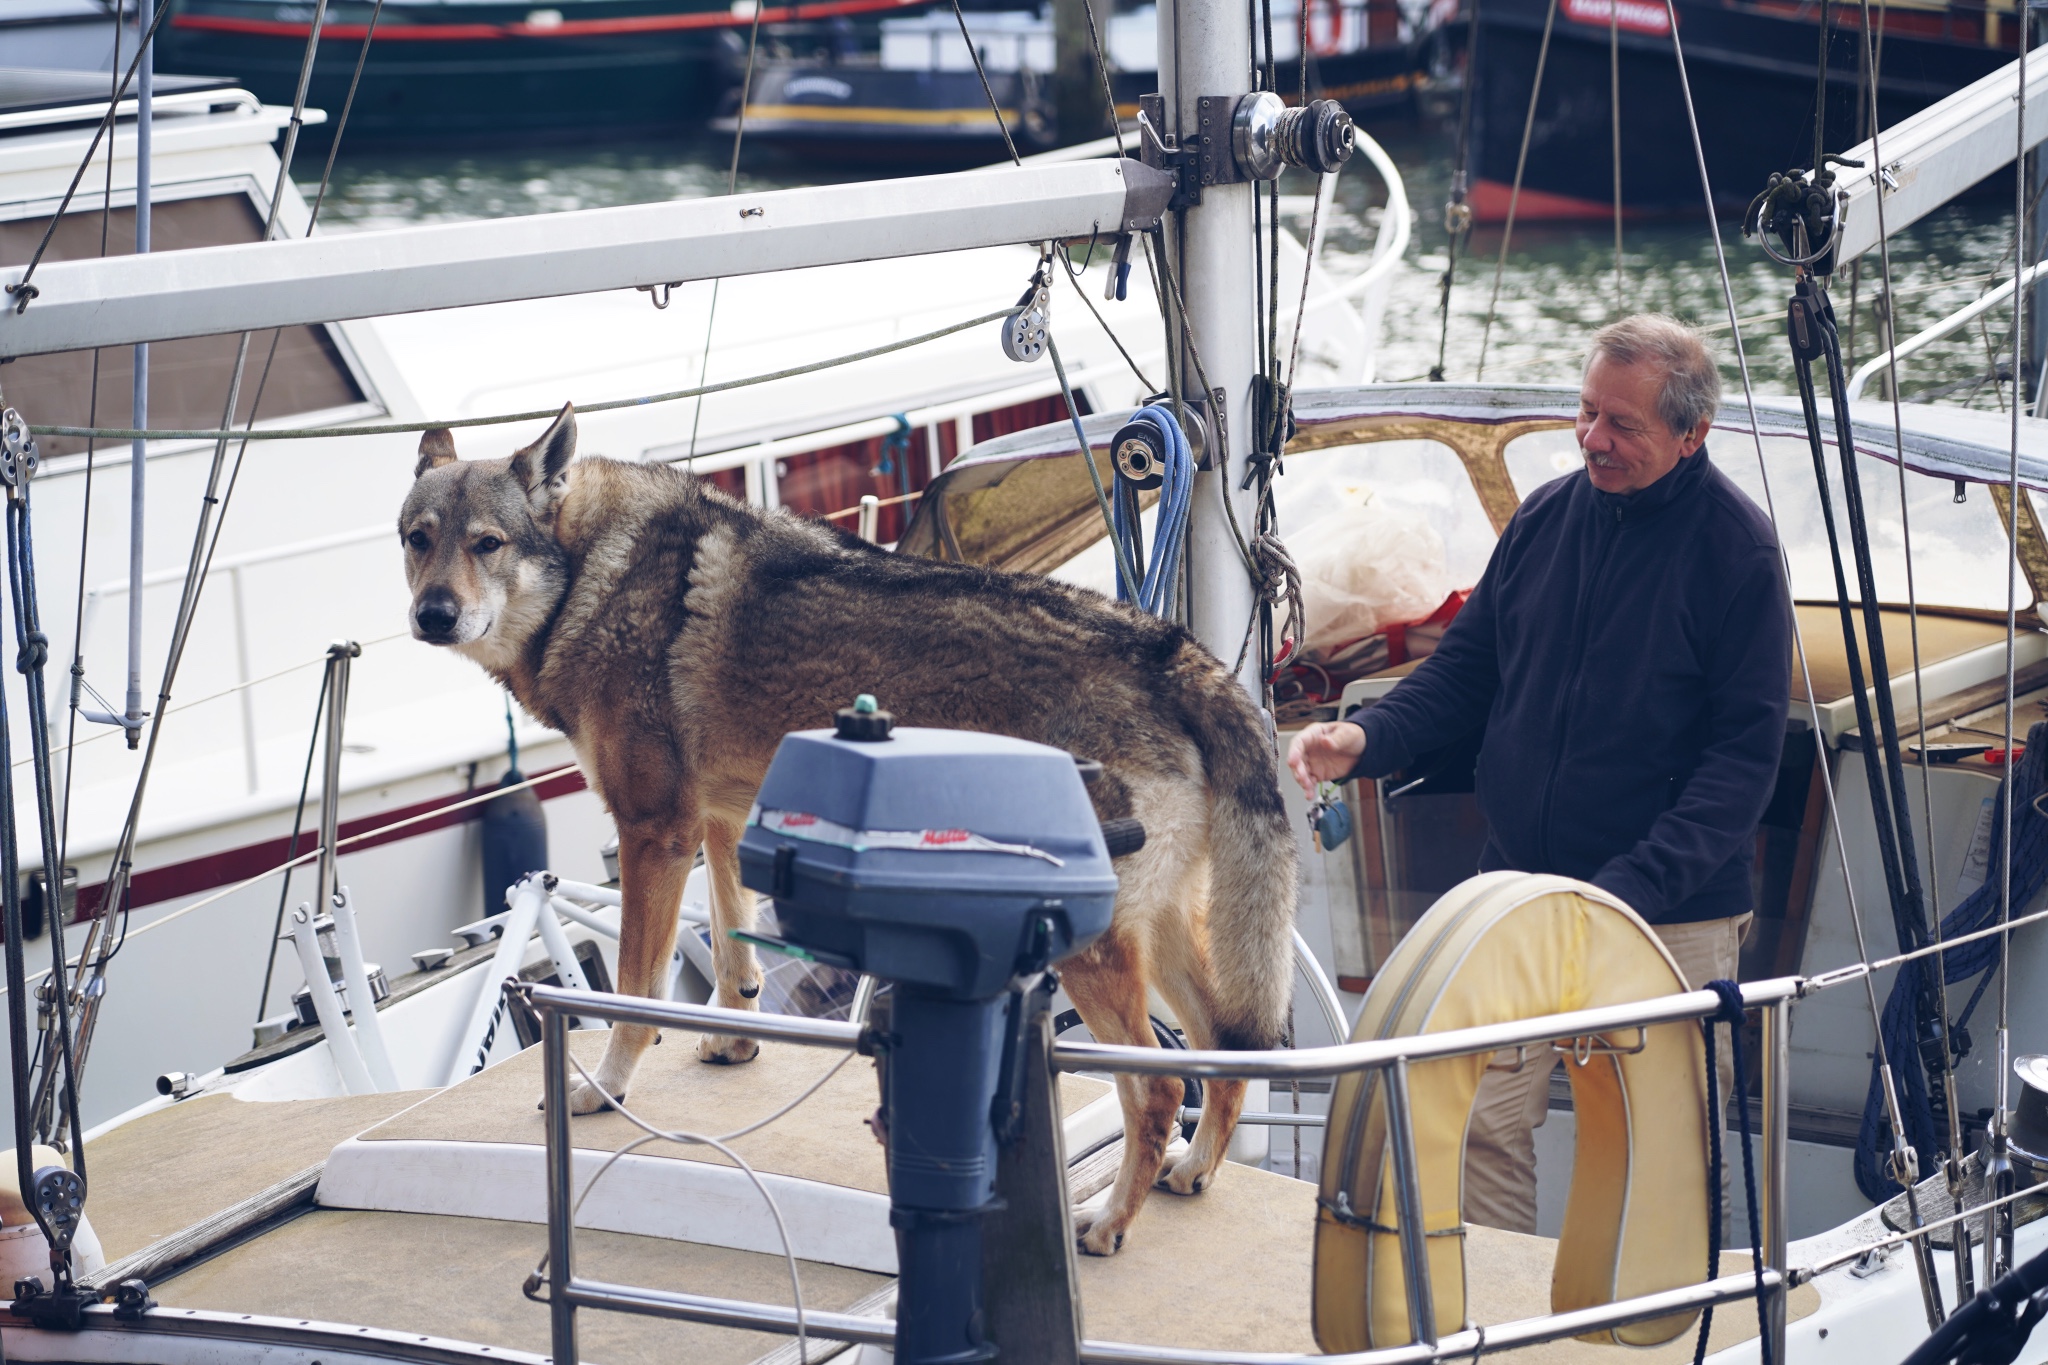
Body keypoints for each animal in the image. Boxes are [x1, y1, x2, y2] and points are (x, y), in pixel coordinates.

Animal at [399, 401, 1294, 1252]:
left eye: (486, 543)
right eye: (418, 539)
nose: (432, 615)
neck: (593, 574)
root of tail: (1173, 650)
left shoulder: (655, 830)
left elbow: (635, 994)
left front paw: (604, 1088)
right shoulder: (719, 820)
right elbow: (733, 956)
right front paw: (733, 1043)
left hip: (1093, 948)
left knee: (1161, 1084)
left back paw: (1107, 1223)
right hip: (1161, 935)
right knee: (1226, 1047)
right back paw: (1194, 1170)